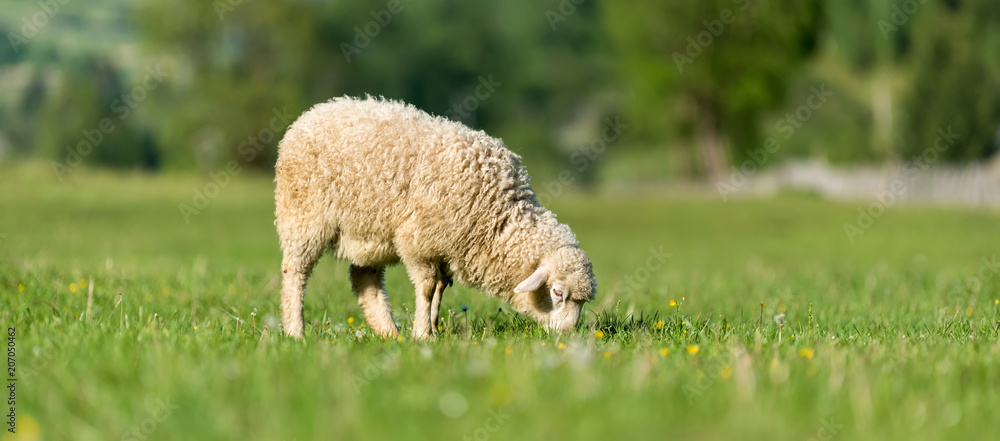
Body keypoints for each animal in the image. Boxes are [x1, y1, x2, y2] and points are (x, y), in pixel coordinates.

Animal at [274, 96, 596, 339]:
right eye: (557, 293)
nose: (568, 335)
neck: (499, 217)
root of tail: (315, 112)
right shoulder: (420, 242)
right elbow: (428, 288)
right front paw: (423, 334)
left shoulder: (445, 249)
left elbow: (439, 288)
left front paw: (432, 328)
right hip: (303, 217)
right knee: (295, 272)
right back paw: (295, 332)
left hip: (368, 230)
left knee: (366, 282)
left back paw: (389, 333)